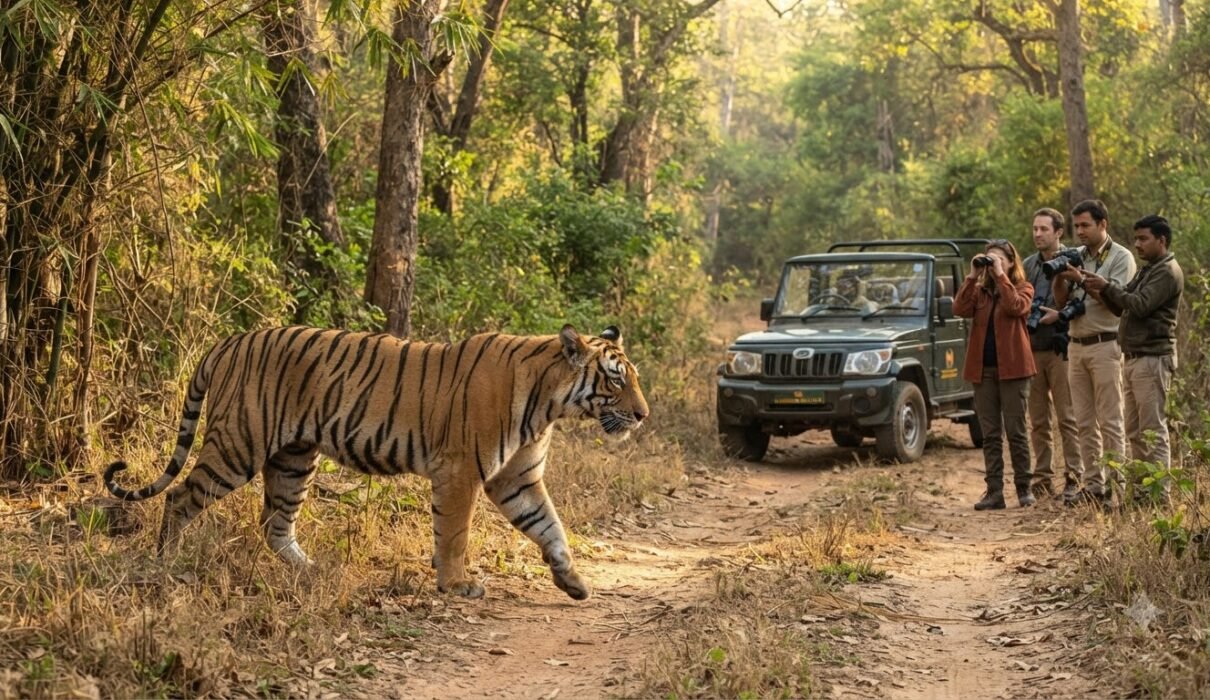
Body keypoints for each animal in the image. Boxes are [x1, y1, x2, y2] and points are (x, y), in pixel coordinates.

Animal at [104, 324, 649, 600]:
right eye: (616, 379)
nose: (643, 415)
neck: (550, 404)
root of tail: (230, 340)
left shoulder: (518, 478)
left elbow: (550, 526)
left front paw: (573, 581)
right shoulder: (461, 472)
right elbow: (454, 534)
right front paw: (456, 584)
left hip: (294, 458)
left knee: (274, 523)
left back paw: (313, 571)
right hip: (239, 443)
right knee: (181, 496)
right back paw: (167, 561)